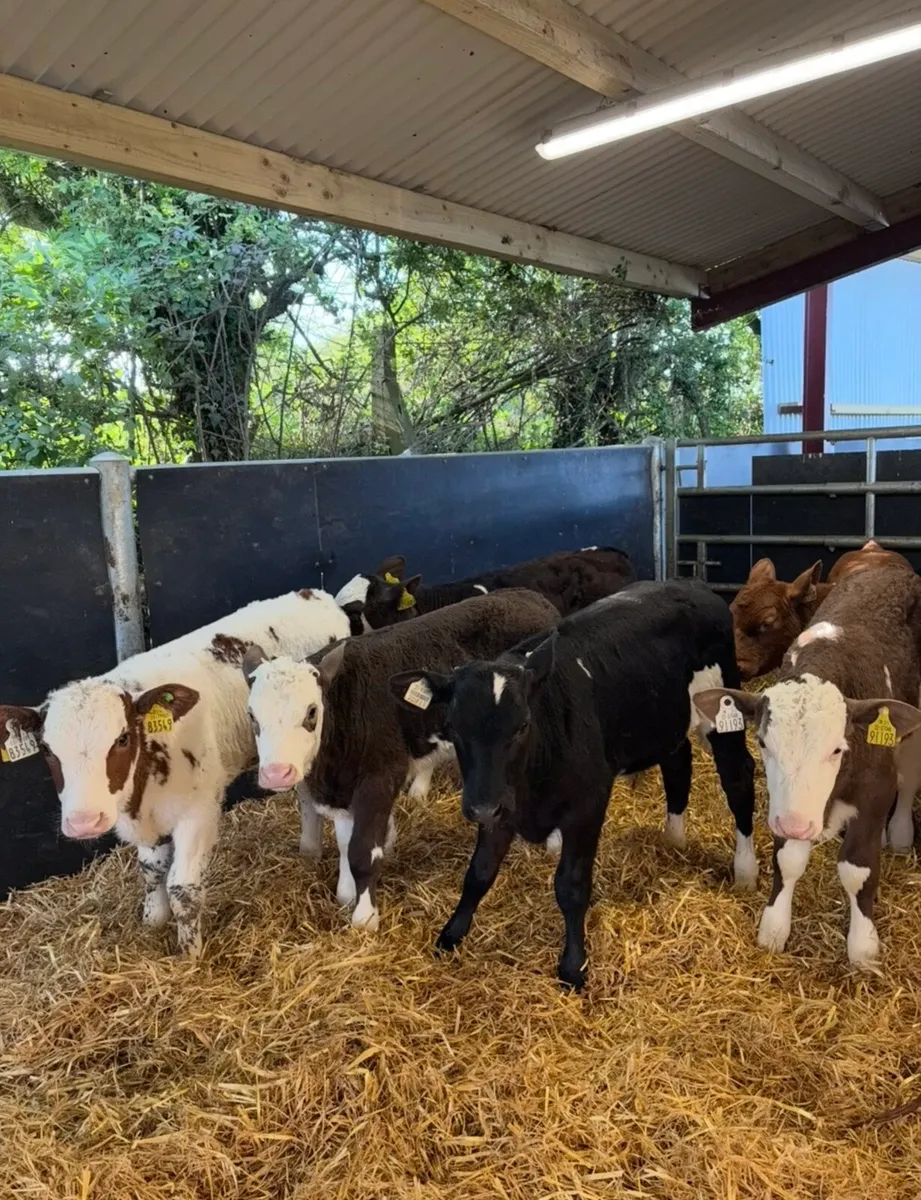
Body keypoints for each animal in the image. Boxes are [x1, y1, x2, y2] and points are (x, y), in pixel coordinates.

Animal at [0, 589, 350, 956]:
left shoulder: (198, 813)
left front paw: (190, 953)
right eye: (47, 749)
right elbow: (151, 871)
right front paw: (152, 921)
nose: (84, 822)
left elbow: (183, 887)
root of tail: (313, 593)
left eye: (122, 739)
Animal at [243, 589, 560, 932]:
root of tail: (532, 597)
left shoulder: (379, 777)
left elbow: (362, 850)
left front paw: (365, 917)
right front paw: (346, 894)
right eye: (252, 716)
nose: (277, 773)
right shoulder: (341, 789)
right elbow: (345, 843)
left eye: (311, 712)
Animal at [393, 579, 757, 991]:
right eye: (453, 726)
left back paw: (746, 871)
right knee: (678, 765)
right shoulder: (501, 804)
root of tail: (692, 586)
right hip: (665, 722)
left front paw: (572, 966)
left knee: (738, 779)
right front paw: (451, 935)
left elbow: (571, 886)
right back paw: (673, 840)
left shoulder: (586, 804)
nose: (480, 807)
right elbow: (479, 872)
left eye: (522, 725)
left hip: (724, 712)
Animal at [696, 564, 921, 967]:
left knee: (909, 778)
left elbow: (858, 869)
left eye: (837, 749)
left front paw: (863, 946)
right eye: (763, 742)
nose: (796, 824)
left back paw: (898, 834)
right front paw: (774, 928)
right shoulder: (785, 804)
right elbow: (787, 860)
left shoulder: (874, 790)